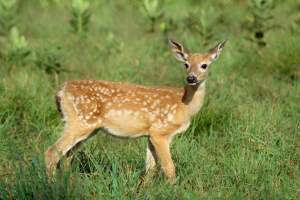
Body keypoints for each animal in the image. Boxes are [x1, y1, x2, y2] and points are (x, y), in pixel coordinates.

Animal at [44, 39, 226, 183]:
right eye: (186, 64)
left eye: (204, 65)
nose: (191, 78)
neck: (183, 106)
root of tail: (61, 91)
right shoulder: (161, 132)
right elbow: (169, 168)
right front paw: (174, 189)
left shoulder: (150, 134)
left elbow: (150, 167)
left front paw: (143, 190)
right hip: (79, 122)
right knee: (52, 152)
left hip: (88, 128)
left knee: (67, 157)